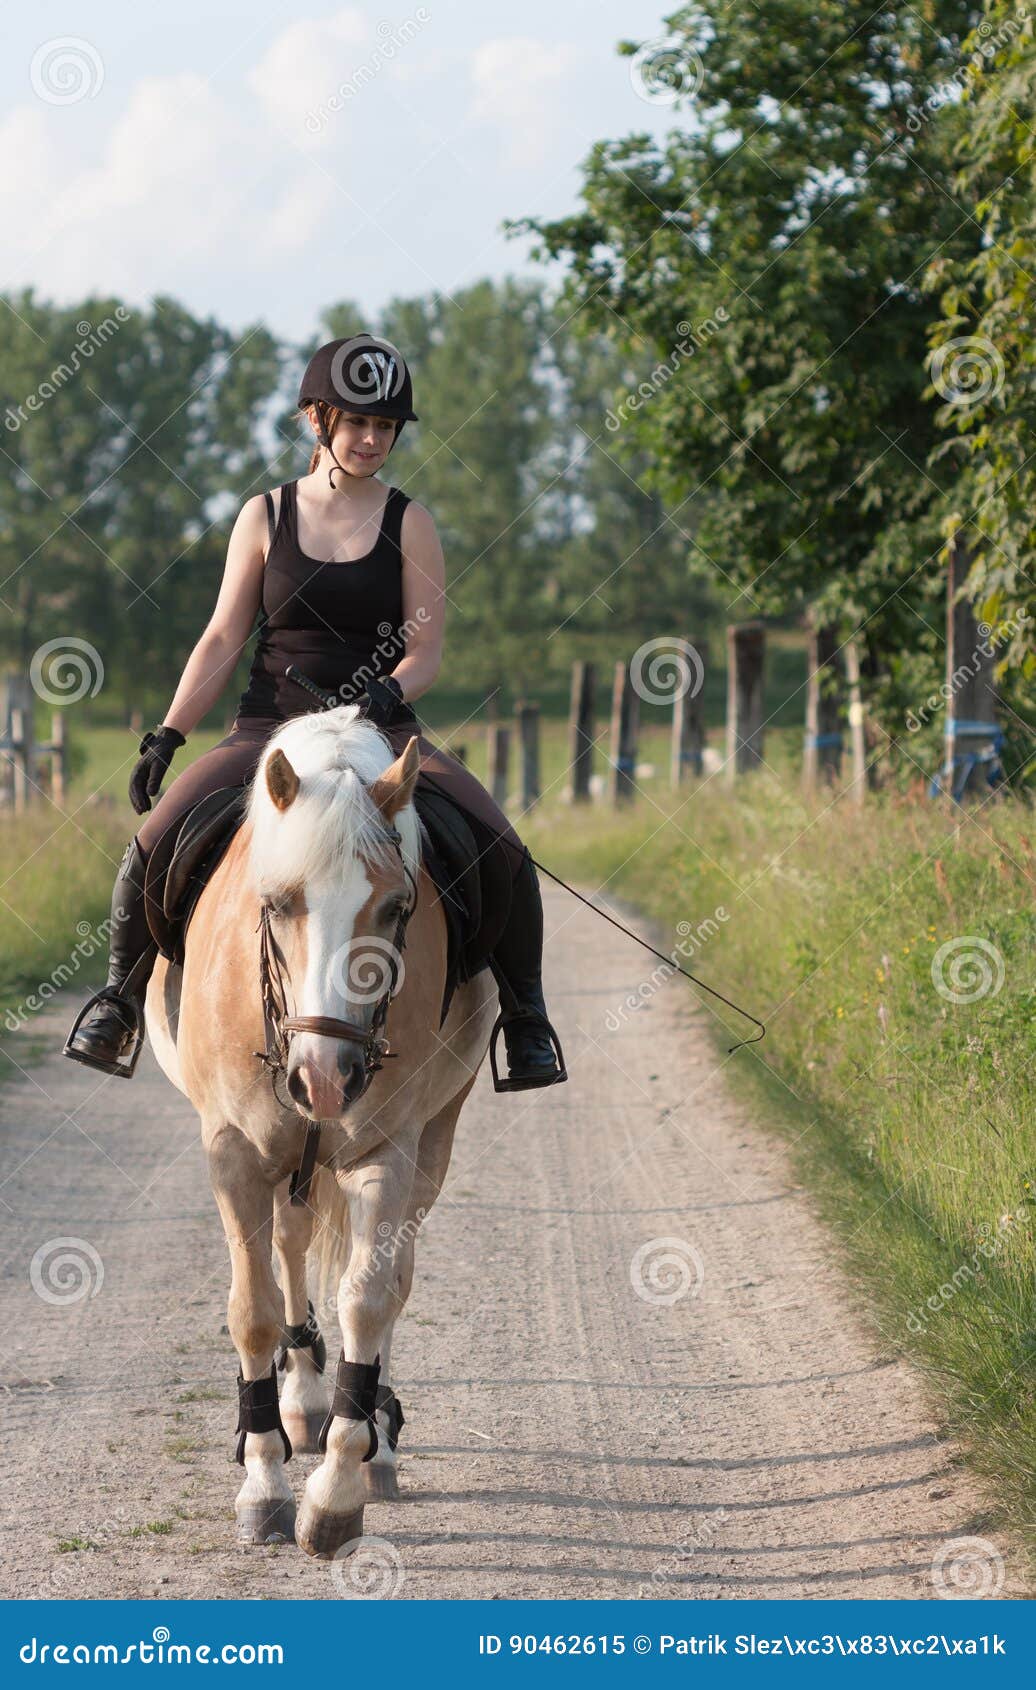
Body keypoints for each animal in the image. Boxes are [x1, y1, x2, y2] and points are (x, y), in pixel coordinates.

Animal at [145, 699, 496, 1554]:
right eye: (277, 904)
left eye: (396, 909)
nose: (327, 1079)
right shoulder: (234, 1152)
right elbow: (254, 1312)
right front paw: (264, 1479)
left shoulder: (386, 1150)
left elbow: (368, 1298)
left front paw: (336, 1491)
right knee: (291, 1247)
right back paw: (300, 1401)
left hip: (429, 1142)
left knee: (388, 1279)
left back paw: (373, 1437)